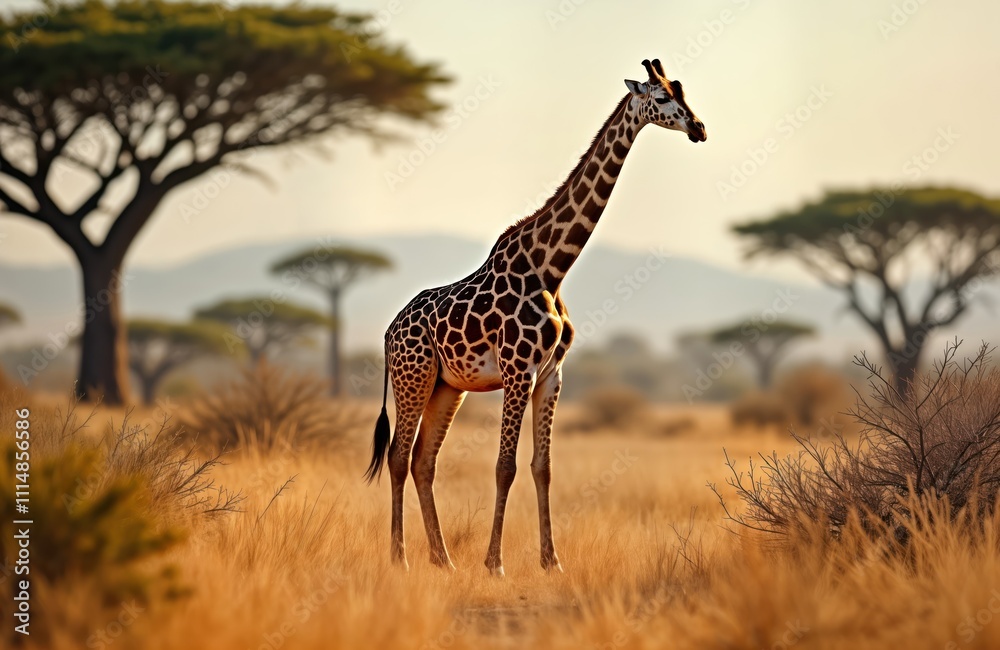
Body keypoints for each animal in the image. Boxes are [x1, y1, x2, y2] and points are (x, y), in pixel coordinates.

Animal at [364, 58, 706, 576]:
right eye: (663, 98)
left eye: (683, 90)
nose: (700, 128)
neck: (552, 267)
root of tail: (388, 332)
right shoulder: (517, 370)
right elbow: (504, 466)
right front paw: (495, 563)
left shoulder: (551, 375)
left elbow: (542, 468)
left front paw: (551, 561)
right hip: (414, 377)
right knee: (399, 457)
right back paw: (400, 559)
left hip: (446, 387)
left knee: (424, 460)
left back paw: (443, 561)